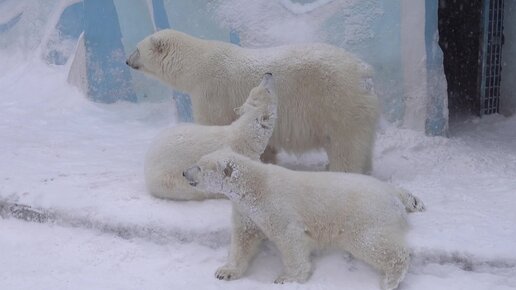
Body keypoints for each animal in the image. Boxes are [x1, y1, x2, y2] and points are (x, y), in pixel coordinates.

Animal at [128, 29, 378, 173]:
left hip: (337, 102)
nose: (126, 61)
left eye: (137, 49)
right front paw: (266, 160)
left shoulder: (212, 91)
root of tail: (365, 74)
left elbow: (214, 123)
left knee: (345, 148)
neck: (197, 64)